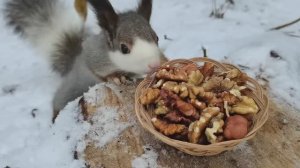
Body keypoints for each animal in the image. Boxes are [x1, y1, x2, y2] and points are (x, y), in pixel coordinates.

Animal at [3, 0, 168, 121]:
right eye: (124, 48)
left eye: (157, 38)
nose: (154, 64)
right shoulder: (93, 56)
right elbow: (99, 72)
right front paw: (116, 77)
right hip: (70, 90)